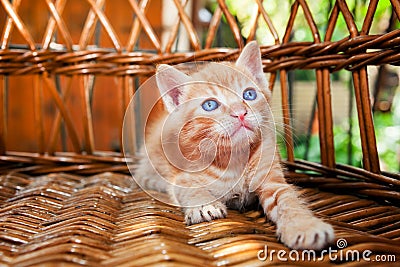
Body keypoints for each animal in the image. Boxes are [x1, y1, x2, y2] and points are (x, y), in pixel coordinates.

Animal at [134, 42, 334, 251]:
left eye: (249, 94)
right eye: (210, 105)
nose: (240, 113)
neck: (236, 159)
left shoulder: (271, 176)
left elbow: (287, 200)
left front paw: (304, 226)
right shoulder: (182, 177)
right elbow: (190, 190)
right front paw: (204, 206)